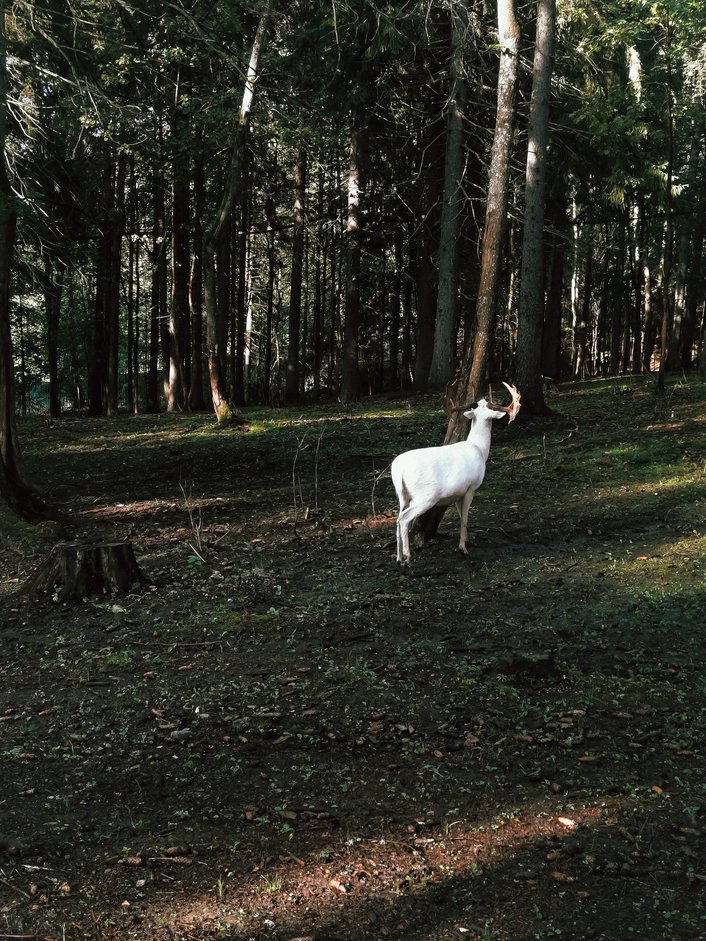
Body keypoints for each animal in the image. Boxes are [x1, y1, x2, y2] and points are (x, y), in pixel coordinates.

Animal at [388, 378, 520, 560]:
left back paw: (399, 556)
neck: (480, 449)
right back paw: (407, 556)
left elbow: (460, 517)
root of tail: (398, 469)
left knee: (397, 518)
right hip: (425, 496)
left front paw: (467, 541)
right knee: (404, 518)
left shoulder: (458, 493)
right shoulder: (472, 486)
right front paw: (463, 548)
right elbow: (464, 518)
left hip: (402, 495)